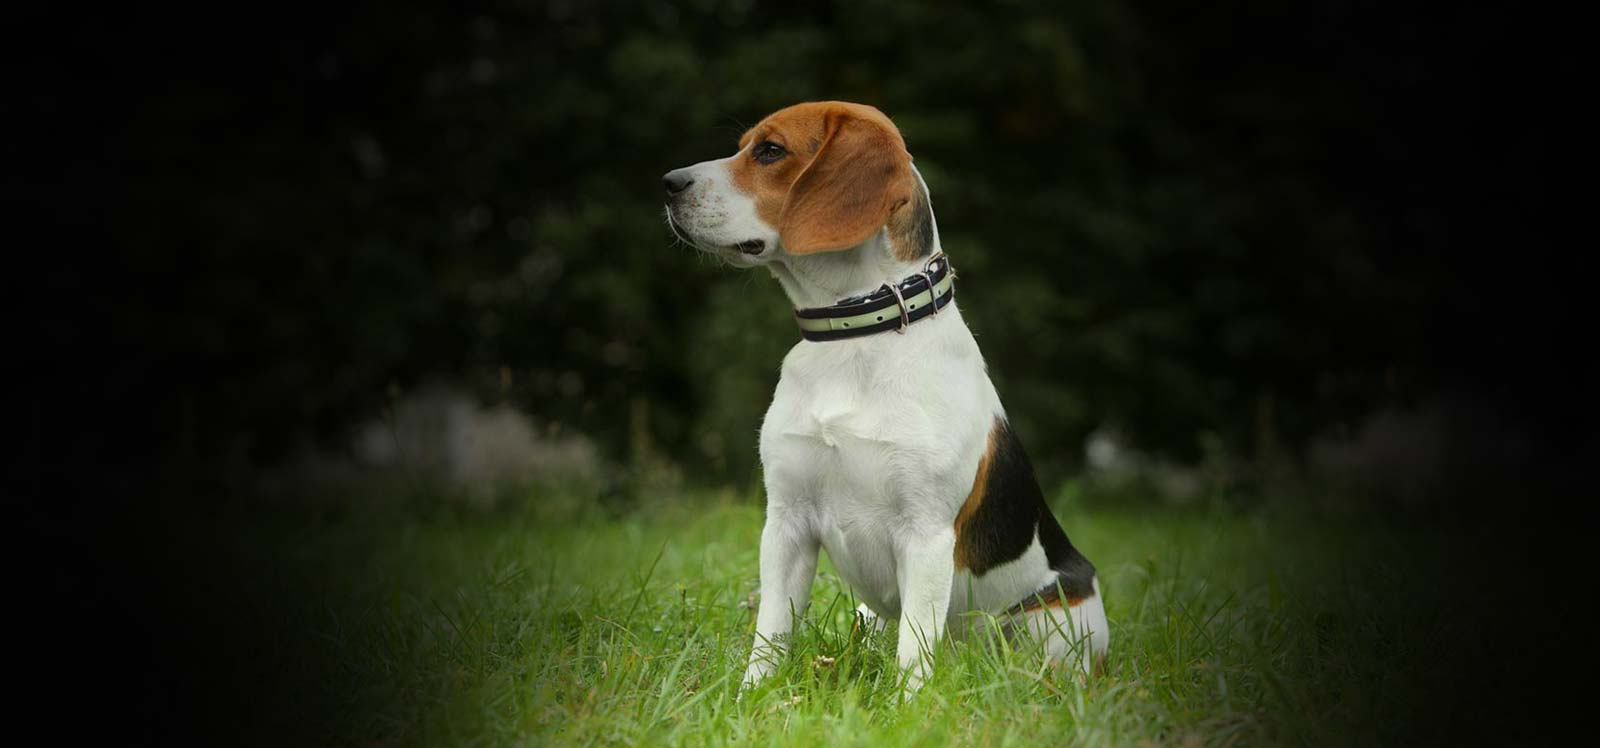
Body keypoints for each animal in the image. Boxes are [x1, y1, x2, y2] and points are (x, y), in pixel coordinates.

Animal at [665, 102, 1113, 693]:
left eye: (770, 151)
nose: (668, 182)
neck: (856, 333)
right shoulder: (785, 521)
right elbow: (771, 632)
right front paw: (750, 696)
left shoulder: (925, 536)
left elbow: (915, 649)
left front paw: (907, 705)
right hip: (868, 614)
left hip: (1053, 623)